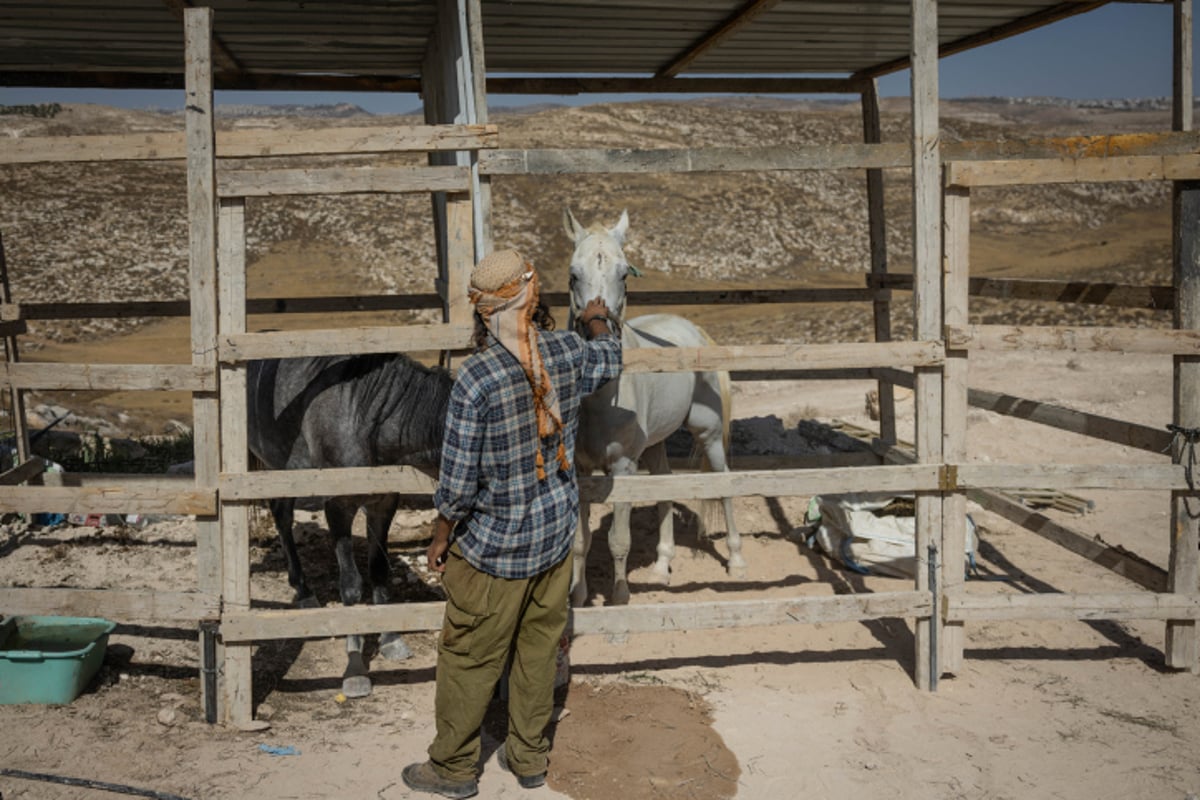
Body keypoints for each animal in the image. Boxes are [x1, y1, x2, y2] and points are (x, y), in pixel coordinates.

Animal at [246, 352, 451, 695]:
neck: (367, 418)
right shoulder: (338, 507)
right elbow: (352, 585)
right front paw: (355, 667)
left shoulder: (384, 502)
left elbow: (379, 569)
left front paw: (390, 639)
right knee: (282, 516)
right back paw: (303, 591)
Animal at [561, 208, 739, 606]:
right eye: (573, 274)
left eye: (624, 273)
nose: (598, 333)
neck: (599, 397)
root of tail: (692, 329)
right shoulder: (582, 471)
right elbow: (581, 541)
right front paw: (578, 597)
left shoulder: (624, 469)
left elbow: (618, 541)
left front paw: (620, 596)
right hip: (657, 444)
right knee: (664, 487)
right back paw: (661, 565)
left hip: (709, 434)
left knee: (723, 482)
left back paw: (737, 561)